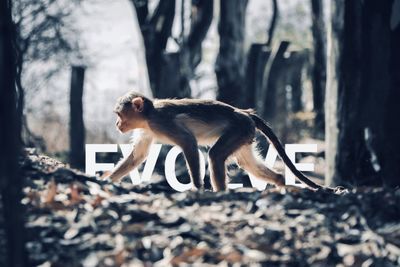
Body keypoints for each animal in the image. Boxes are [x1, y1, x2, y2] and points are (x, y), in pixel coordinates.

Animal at [107, 91, 338, 193]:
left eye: (119, 114)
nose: (117, 124)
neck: (149, 115)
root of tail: (244, 112)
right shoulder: (147, 130)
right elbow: (138, 156)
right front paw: (107, 179)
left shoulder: (161, 122)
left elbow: (188, 143)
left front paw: (197, 187)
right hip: (245, 134)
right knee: (246, 162)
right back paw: (281, 182)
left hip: (239, 128)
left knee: (215, 155)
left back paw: (221, 193)